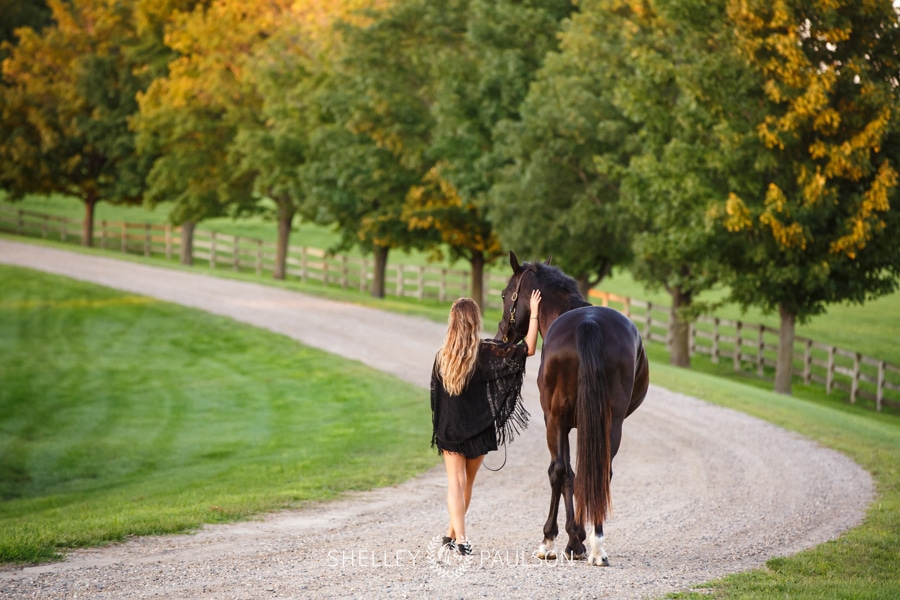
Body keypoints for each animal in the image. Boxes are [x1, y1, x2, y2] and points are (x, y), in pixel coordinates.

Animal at [500, 251, 648, 564]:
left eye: (505, 294)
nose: (502, 334)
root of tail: (588, 324)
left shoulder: (557, 421)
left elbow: (564, 472)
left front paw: (564, 539)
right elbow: (578, 474)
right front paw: (578, 539)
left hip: (556, 419)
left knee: (559, 471)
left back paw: (556, 542)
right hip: (609, 423)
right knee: (600, 473)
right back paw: (597, 547)